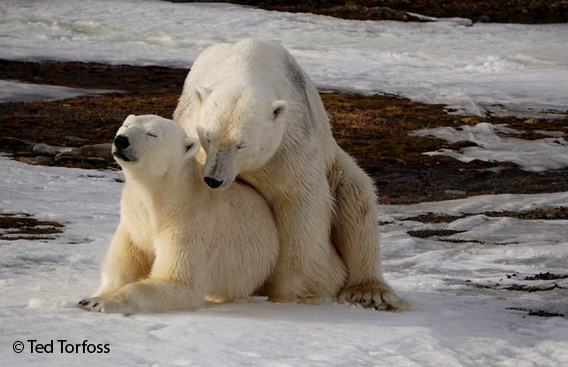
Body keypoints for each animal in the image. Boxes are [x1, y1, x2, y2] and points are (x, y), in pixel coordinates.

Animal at [77, 114, 280, 314]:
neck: (164, 196)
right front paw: (98, 294)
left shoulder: (189, 223)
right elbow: (122, 266)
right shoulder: (133, 221)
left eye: (152, 134)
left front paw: (96, 302)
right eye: (126, 125)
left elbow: (177, 281)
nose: (121, 140)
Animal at [173, 39, 408, 310]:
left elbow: (300, 201)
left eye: (242, 144)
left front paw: (298, 291)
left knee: (356, 201)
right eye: (208, 136)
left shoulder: (289, 145)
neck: (243, 63)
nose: (214, 179)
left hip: (335, 166)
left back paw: (368, 292)